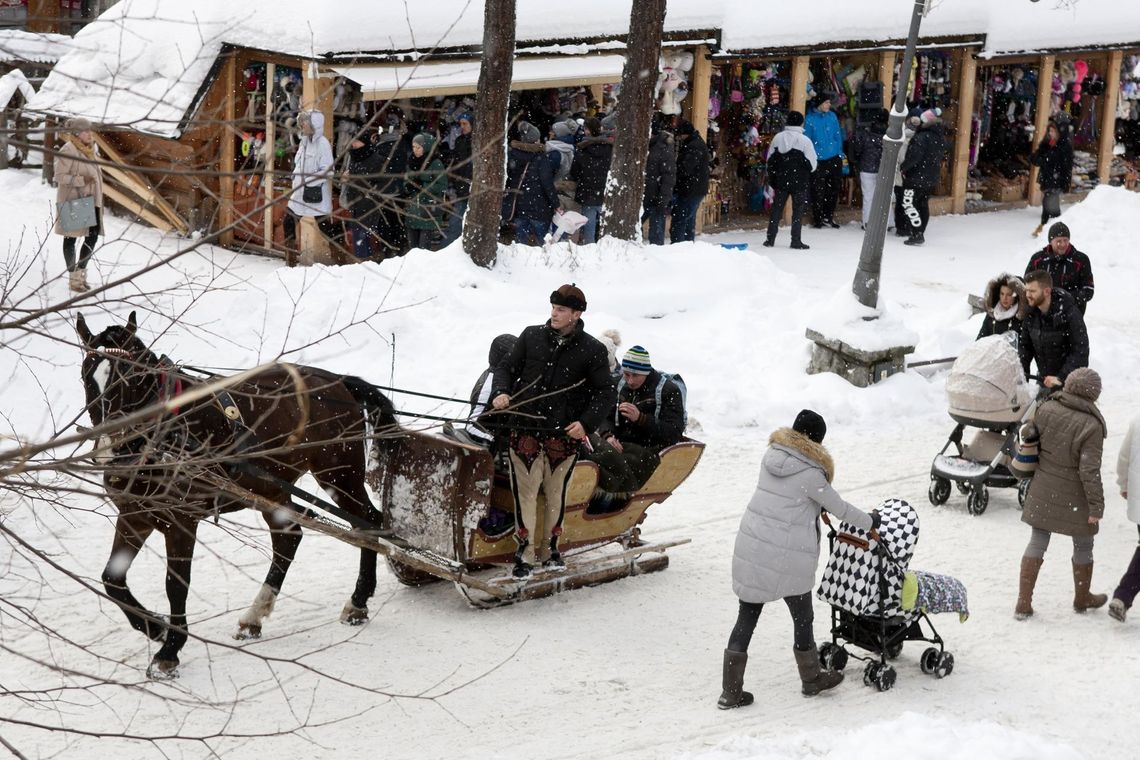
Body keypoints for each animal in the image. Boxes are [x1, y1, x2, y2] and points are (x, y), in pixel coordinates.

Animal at [78, 312, 399, 679]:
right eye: (87, 376)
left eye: (129, 378)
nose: (107, 448)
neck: (166, 434)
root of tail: (336, 381)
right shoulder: (135, 514)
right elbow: (112, 580)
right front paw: (155, 628)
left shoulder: (181, 521)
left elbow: (176, 585)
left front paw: (169, 650)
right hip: (272, 486)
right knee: (289, 537)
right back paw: (254, 616)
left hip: (339, 474)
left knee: (367, 522)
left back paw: (358, 601)